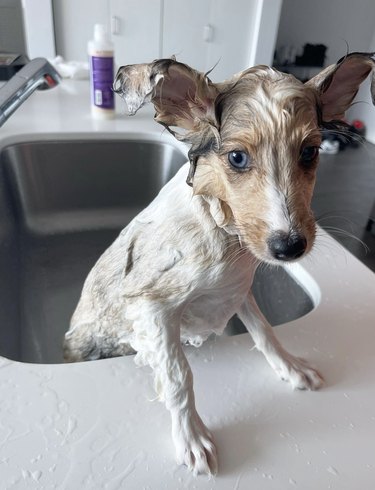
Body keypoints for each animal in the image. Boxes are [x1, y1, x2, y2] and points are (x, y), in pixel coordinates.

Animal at [64, 52, 375, 474]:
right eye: (237, 158)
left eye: (309, 152)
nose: (289, 247)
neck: (224, 229)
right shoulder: (151, 307)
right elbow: (178, 376)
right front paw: (192, 437)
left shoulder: (238, 290)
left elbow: (265, 332)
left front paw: (291, 367)